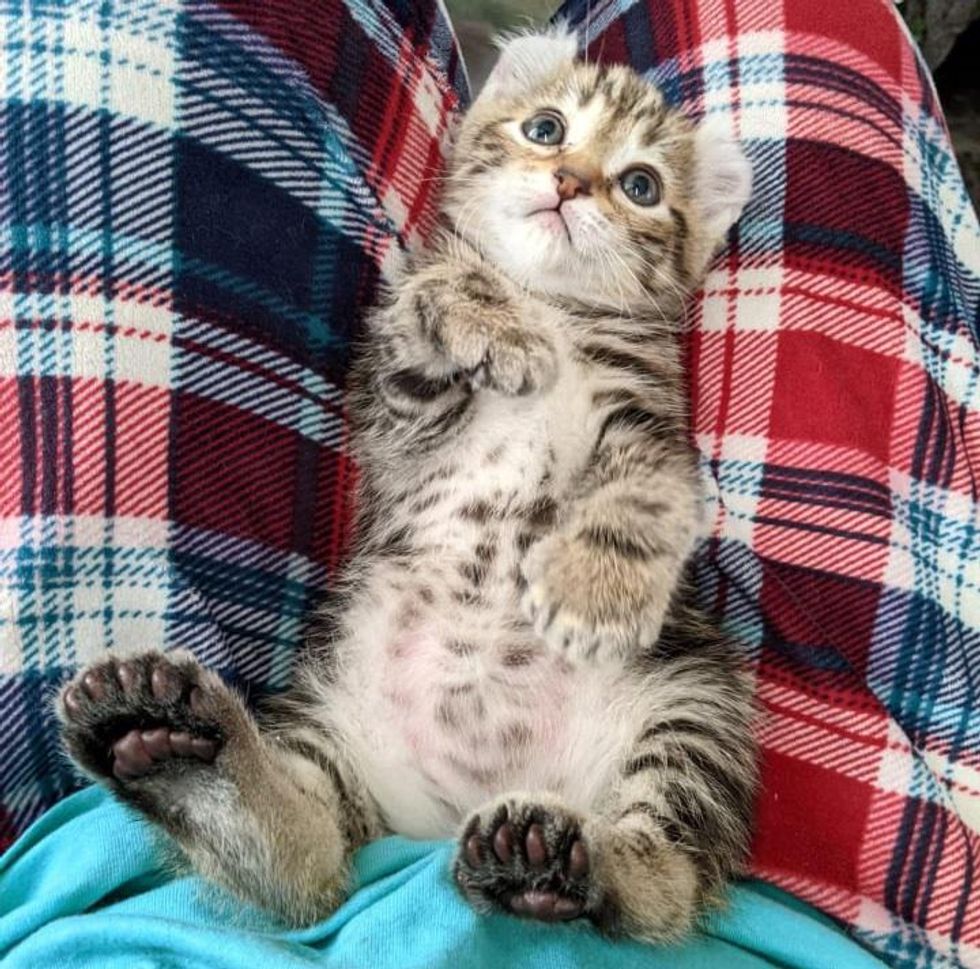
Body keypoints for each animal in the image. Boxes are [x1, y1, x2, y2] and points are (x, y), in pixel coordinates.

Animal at [57, 30, 756, 944]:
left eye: (641, 185)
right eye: (546, 127)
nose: (570, 181)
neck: (556, 302)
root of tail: (439, 819)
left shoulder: (652, 428)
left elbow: (650, 495)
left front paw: (594, 595)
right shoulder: (396, 418)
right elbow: (431, 296)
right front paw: (488, 317)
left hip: (695, 705)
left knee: (665, 878)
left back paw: (557, 861)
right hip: (330, 714)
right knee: (309, 856)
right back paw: (168, 746)